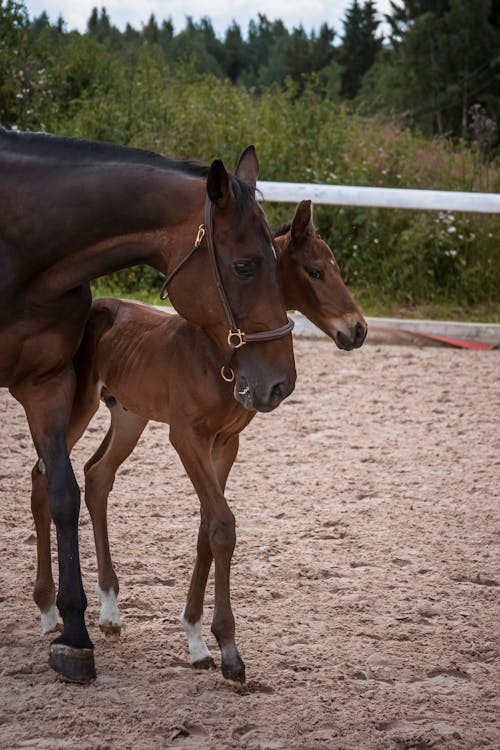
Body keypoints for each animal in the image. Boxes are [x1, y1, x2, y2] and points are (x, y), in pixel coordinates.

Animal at [31, 201, 368, 688]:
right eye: (316, 271)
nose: (358, 330)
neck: (217, 353)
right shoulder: (187, 437)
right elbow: (222, 525)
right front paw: (227, 650)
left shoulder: (225, 443)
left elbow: (207, 530)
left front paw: (195, 640)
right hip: (77, 408)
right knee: (43, 479)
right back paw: (47, 610)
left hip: (129, 416)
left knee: (97, 476)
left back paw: (110, 609)